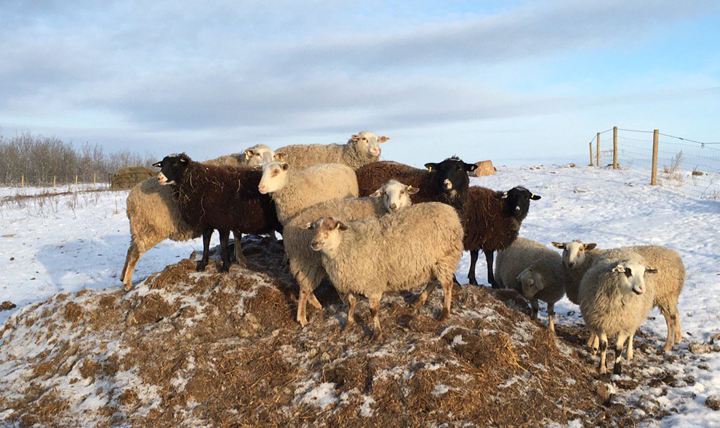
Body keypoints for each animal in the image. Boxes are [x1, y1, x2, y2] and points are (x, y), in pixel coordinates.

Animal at [120, 146, 279, 291]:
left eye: (274, 155)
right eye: (257, 154)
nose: (268, 167)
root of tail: (130, 200)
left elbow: (230, 237)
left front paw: (236, 258)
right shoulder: (227, 217)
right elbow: (235, 237)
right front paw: (238, 259)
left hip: (138, 229)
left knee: (130, 250)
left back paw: (122, 277)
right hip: (148, 229)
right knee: (135, 254)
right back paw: (127, 283)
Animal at [284, 180, 418, 326]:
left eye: (402, 191)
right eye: (385, 193)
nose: (393, 206)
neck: (380, 207)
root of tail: (288, 230)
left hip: (308, 263)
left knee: (305, 287)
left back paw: (317, 305)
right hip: (306, 260)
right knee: (303, 290)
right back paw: (302, 317)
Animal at [305, 202, 464, 340]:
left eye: (330, 228)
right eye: (314, 228)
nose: (314, 243)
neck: (345, 244)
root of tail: (451, 211)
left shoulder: (372, 283)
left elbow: (373, 310)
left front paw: (376, 334)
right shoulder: (350, 281)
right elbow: (351, 303)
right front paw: (348, 324)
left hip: (445, 258)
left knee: (447, 285)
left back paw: (444, 313)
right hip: (431, 262)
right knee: (433, 280)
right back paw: (419, 300)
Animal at [555, 241, 685, 352]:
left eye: (581, 249)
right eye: (565, 248)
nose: (570, 263)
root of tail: (676, 256)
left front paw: (590, 342)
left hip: (666, 295)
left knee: (671, 319)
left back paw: (667, 346)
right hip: (669, 297)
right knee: (676, 313)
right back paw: (678, 338)